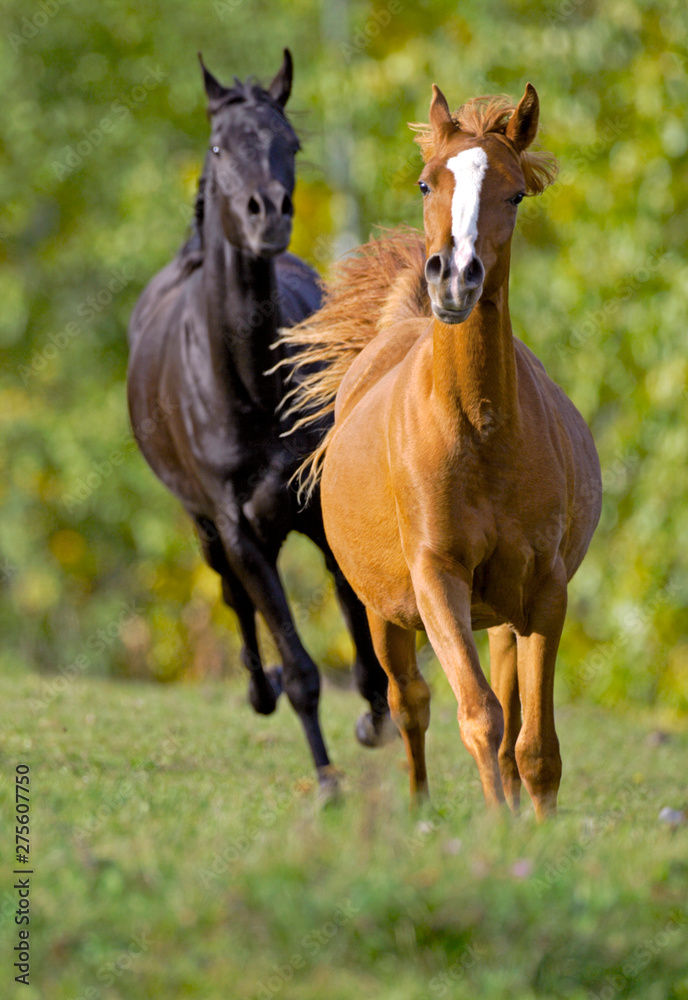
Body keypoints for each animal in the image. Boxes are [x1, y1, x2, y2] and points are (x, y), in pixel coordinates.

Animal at [125, 50, 390, 792]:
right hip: (206, 525)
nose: (266, 213)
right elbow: (296, 661)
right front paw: (325, 778)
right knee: (235, 597)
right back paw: (258, 689)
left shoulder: (317, 501)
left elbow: (356, 620)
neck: (247, 387)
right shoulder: (235, 522)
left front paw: (374, 718)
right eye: (219, 147)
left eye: (290, 144)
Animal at [282, 84, 600, 820]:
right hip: (384, 613)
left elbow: (535, 743)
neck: (479, 434)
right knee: (411, 703)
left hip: (504, 616)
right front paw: (498, 825)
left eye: (515, 194)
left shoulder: (545, 591)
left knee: (508, 716)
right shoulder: (436, 579)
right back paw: (422, 810)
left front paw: (534, 829)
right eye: (428, 182)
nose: (454, 278)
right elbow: (478, 715)